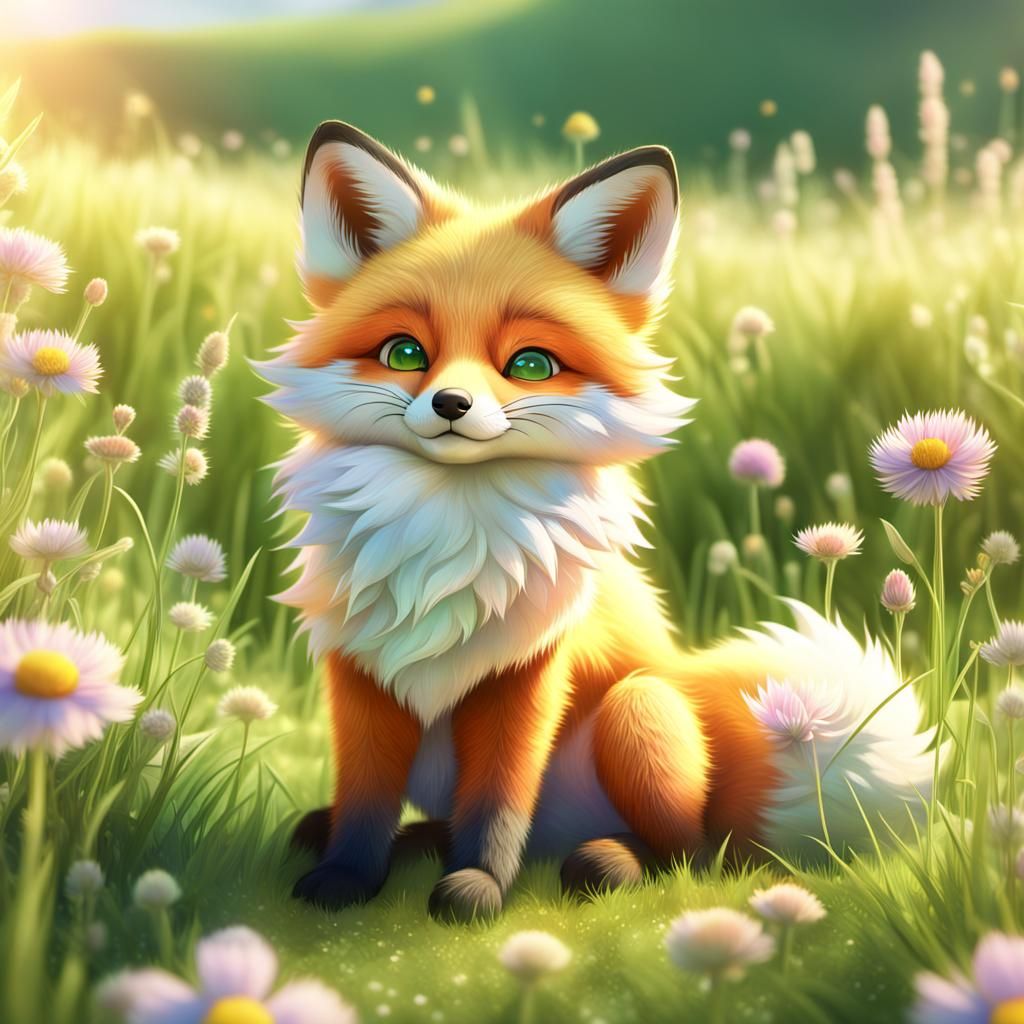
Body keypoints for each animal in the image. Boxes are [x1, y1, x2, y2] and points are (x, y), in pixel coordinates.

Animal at [256, 121, 937, 922]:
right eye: (405, 353)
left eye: (530, 364)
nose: (451, 404)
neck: (445, 543)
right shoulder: (361, 673)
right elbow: (364, 794)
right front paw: (348, 875)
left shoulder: (526, 672)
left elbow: (498, 797)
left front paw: (478, 885)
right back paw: (406, 841)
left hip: (636, 710)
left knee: (691, 851)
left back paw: (607, 860)